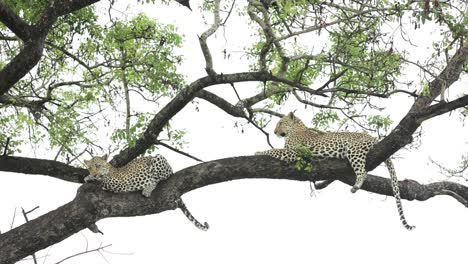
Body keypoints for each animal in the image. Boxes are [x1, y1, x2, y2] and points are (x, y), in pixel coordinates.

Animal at [256, 112, 414, 230]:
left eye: (281, 123)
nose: (275, 132)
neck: (296, 129)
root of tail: (373, 138)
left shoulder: (294, 153)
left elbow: (273, 150)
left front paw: (257, 152)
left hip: (354, 150)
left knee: (363, 171)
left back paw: (356, 186)